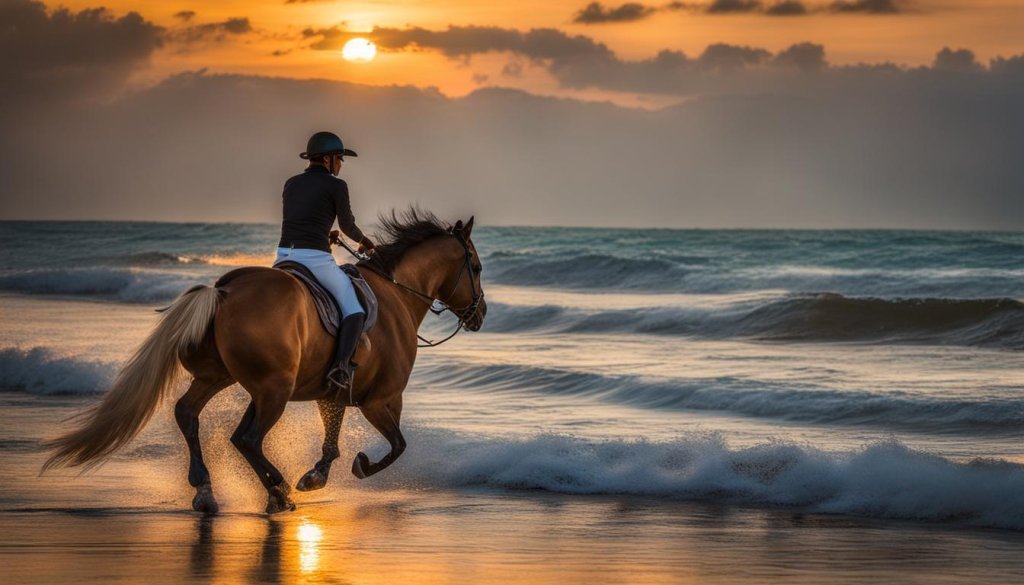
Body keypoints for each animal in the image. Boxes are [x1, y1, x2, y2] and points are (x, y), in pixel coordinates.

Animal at [41, 211, 485, 512]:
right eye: (477, 267)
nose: (479, 315)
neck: (397, 297)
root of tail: (222, 291)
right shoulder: (381, 400)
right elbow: (397, 446)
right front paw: (348, 469)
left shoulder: (332, 391)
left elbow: (332, 438)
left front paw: (315, 475)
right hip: (274, 390)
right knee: (247, 438)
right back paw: (277, 491)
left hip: (223, 378)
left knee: (192, 415)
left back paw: (208, 489)